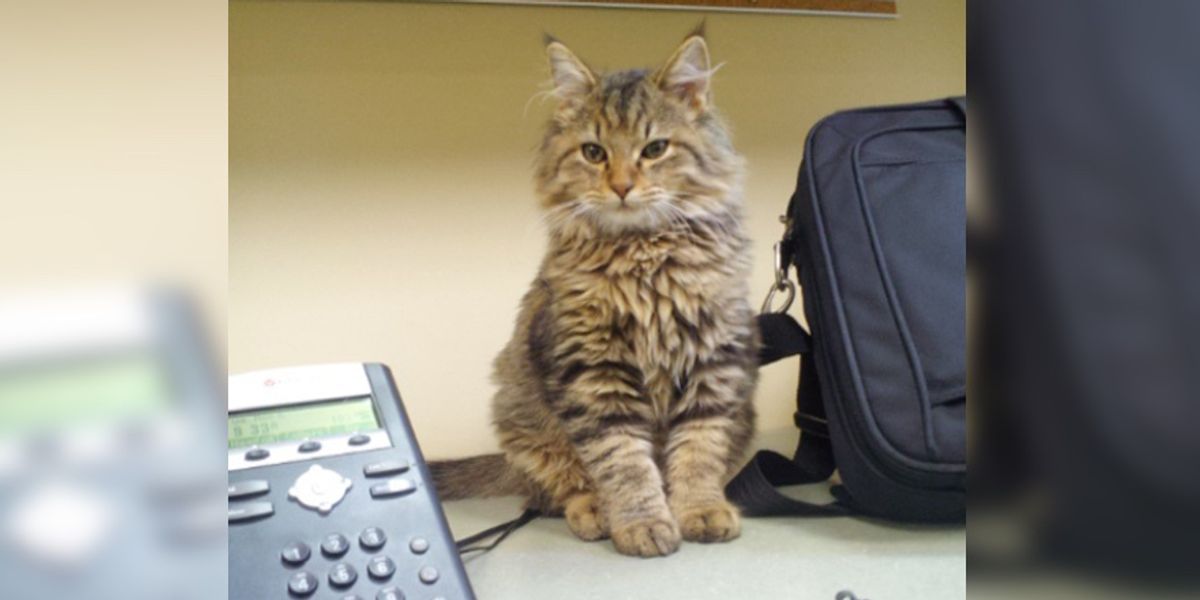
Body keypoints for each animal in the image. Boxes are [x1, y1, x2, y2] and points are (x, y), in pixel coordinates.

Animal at [429, 25, 758, 554]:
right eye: (594, 153)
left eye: (654, 149)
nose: (622, 187)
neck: (645, 260)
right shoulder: (594, 371)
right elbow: (624, 461)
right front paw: (643, 523)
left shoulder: (713, 362)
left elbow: (698, 449)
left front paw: (699, 509)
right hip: (523, 416)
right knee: (562, 484)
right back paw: (594, 511)